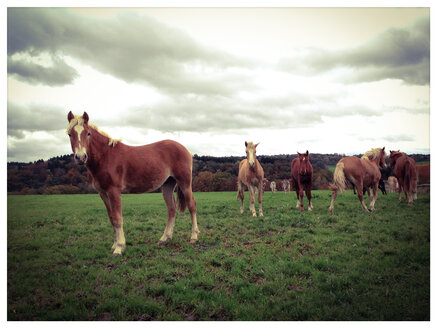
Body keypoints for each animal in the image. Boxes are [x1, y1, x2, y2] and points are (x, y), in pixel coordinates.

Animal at [66, 111, 199, 255]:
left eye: (88, 133)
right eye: (70, 134)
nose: (80, 157)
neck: (105, 157)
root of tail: (185, 149)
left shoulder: (114, 191)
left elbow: (118, 219)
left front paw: (119, 247)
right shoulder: (103, 193)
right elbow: (112, 218)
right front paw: (114, 245)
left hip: (184, 183)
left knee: (192, 205)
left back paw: (194, 237)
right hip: (168, 185)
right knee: (171, 209)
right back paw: (164, 238)